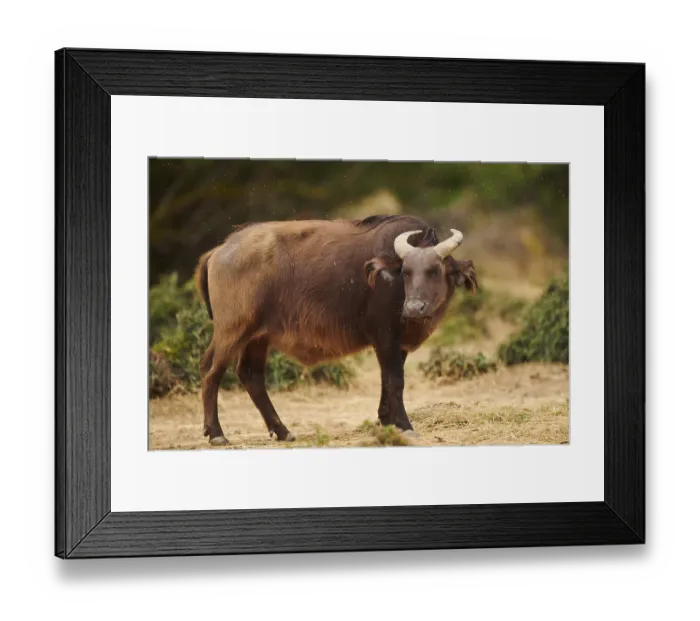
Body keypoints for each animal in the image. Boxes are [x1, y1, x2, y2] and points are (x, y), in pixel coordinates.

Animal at [195, 215, 478, 445]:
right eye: (406, 272)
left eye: (434, 270)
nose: (414, 307)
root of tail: (219, 250)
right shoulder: (385, 336)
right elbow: (395, 381)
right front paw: (404, 425)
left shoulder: (398, 344)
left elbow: (386, 381)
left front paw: (385, 421)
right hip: (231, 331)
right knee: (211, 370)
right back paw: (216, 433)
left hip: (258, 337)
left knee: (250, 375)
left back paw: (282, 430)